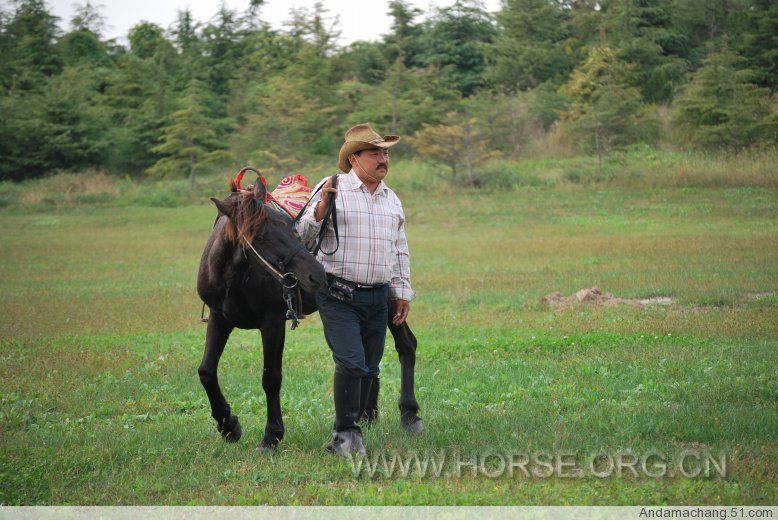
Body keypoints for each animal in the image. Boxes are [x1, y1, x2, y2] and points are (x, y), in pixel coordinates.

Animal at [197, 175, 422, 450]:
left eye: (291, 227)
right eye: (260, 236)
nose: (316, 274)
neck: (234, 276)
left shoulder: (272, 322)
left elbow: (271, 378)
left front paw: (272, 435)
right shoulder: (219, 318)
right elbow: (206, 372)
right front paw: (228, 426)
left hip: (391, 306)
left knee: (407, 346)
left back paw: (409, 413)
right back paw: (367, 415)